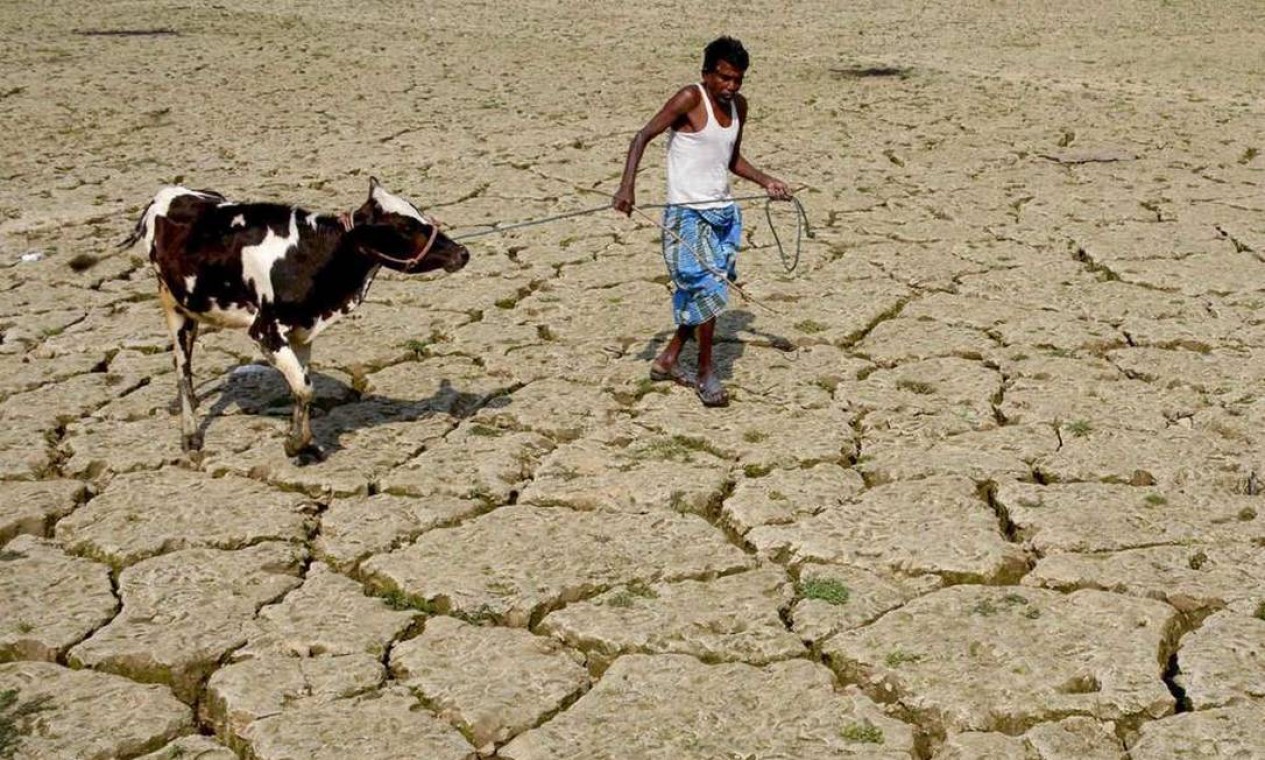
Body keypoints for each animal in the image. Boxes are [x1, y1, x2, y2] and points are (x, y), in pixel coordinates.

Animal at [124, 178, 470, 462]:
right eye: (406, 227)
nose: (462, 253)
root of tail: (166, 194)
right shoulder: (265, 332)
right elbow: (304, 387)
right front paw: (294, 444)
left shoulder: (303, 331)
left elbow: (302, 386)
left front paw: (306, 442)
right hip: (174, 308)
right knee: (183, 369)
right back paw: (190, 436)